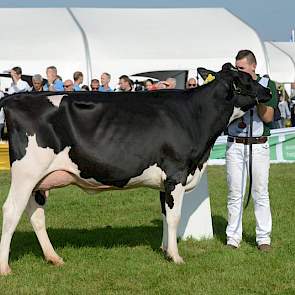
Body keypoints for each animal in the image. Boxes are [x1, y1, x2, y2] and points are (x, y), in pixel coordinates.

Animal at [0, 63, 272, 276]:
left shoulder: (165, 181)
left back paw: (53, 257)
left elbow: (165, 215)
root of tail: (16, 98)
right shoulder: (176, 173)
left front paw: (165, 250)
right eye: (248, 79)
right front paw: (176, 257)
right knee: (11, 211)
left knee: (35, 215)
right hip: (26, 173)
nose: (269, 90)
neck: (196, 116)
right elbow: (174, 217)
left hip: (39, 181)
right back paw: (5, 268)